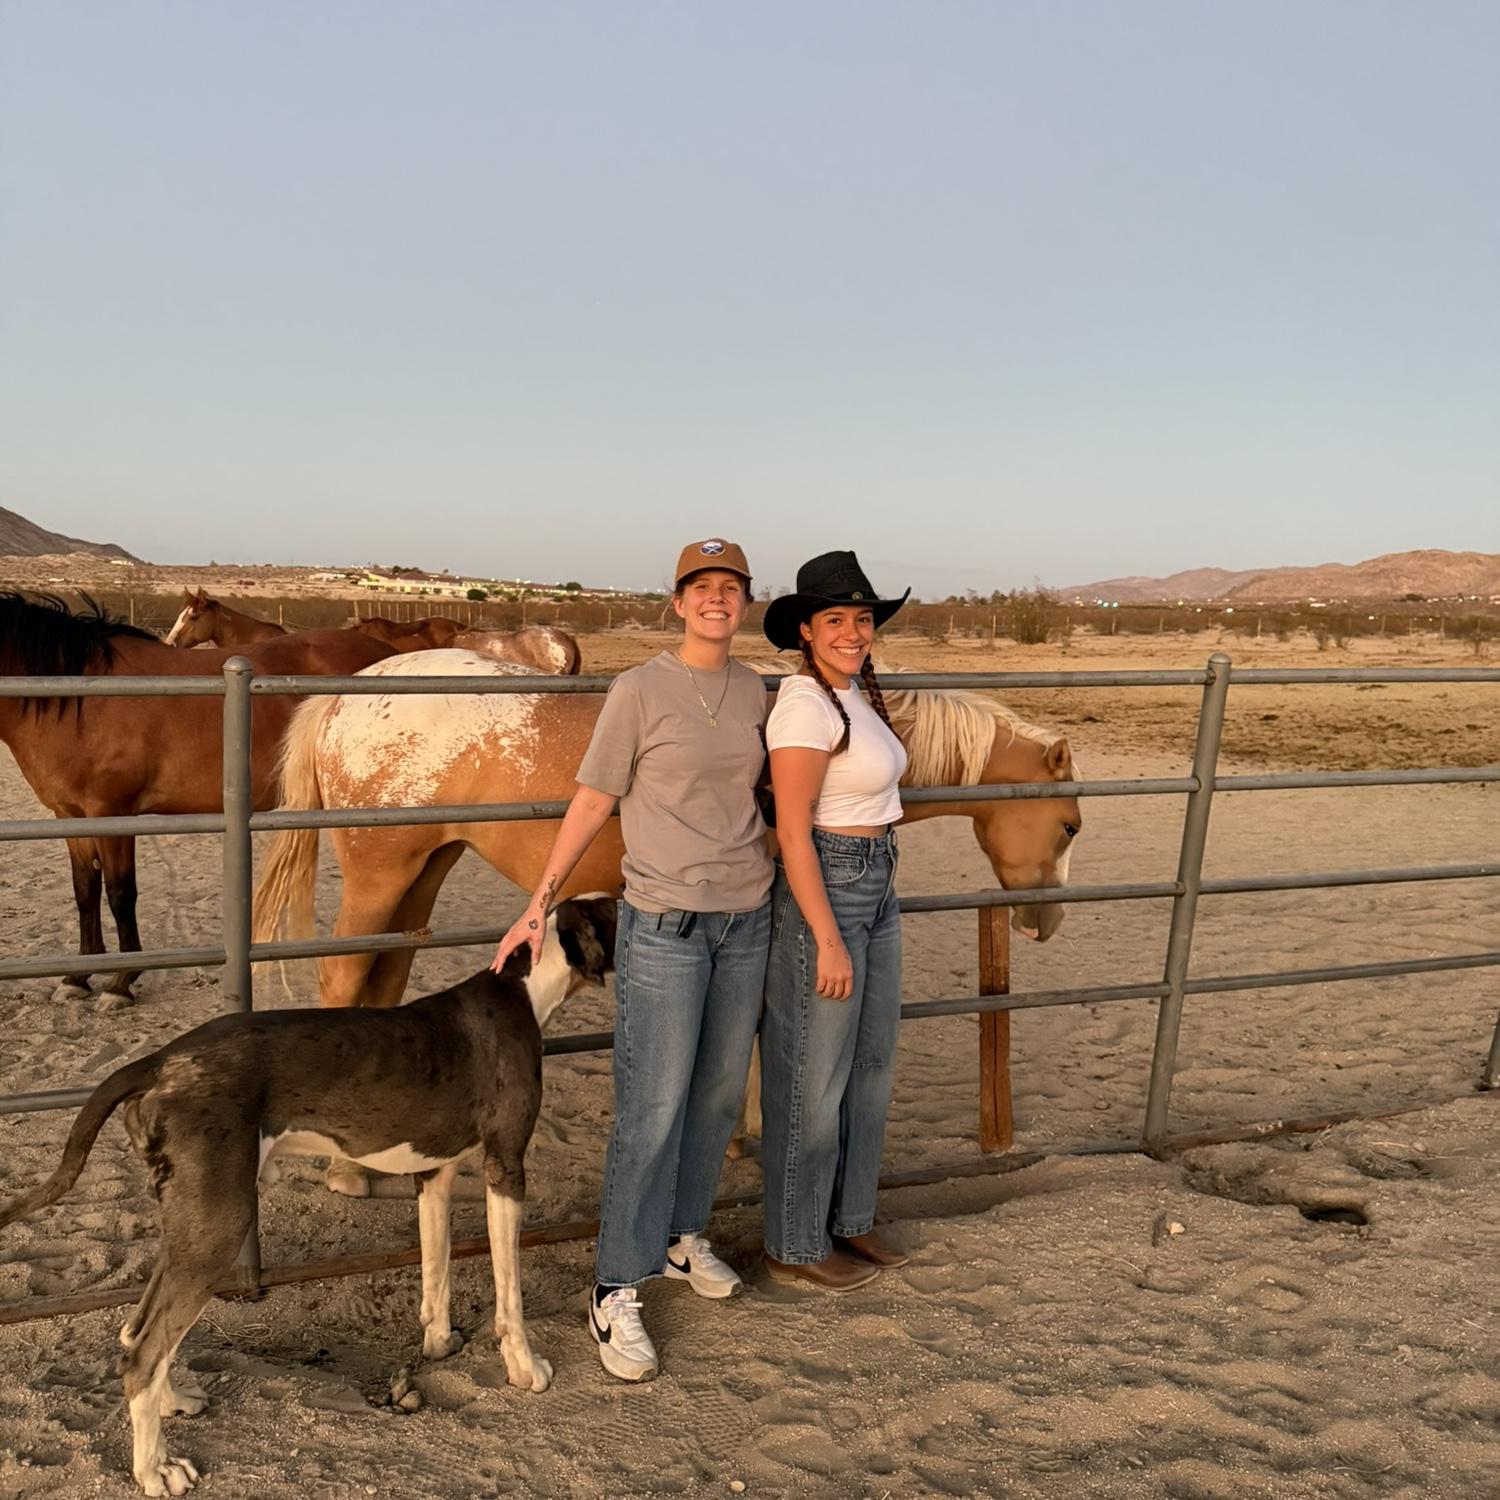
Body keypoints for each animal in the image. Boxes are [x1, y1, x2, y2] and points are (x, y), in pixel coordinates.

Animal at [0, 592, 396, 1005]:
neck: (77, 695)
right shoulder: (70, 815)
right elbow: (85, 890)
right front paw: (76, 979)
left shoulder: (112, 814)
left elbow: (120, 893)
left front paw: (121, 983)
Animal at [0, 895, 617, 1498]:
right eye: (619, 912)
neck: (525, 984)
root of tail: (158, 1062)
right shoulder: (505, 1168)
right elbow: (510, 1294)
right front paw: (525, 1367)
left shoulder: (433, 1173)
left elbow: (436, 1269)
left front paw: (439, 1343)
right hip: (220, 1224)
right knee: (143, 1352)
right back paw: (156, 1471)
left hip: (191, 1221)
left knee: (139, 1329)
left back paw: (173, 1401)